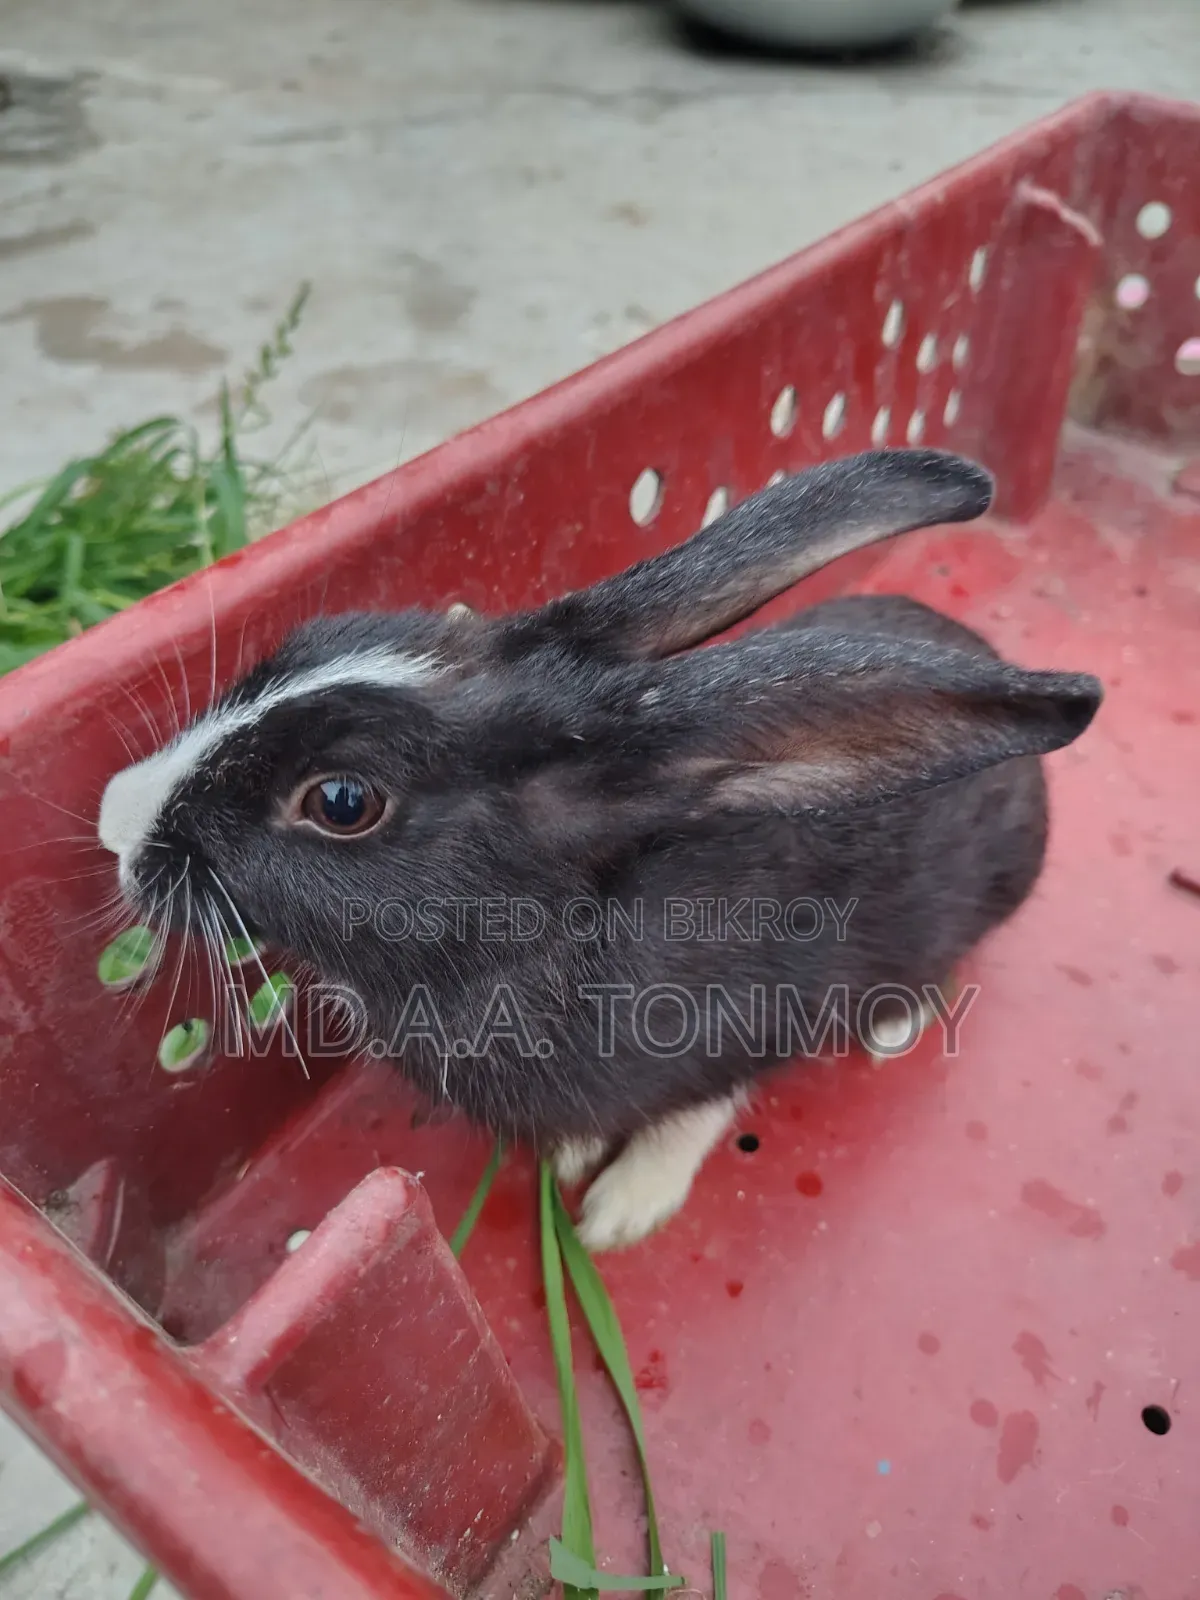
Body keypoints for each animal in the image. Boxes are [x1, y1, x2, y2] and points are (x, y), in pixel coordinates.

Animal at [97, 448, 1102, 1252]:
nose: (114, 819)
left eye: (342, 802)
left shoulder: (746, 1030)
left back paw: (896, 1026)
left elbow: (691, 1116)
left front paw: (616, 1214)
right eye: (316, 636)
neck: (532, 930)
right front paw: (574, 1155)